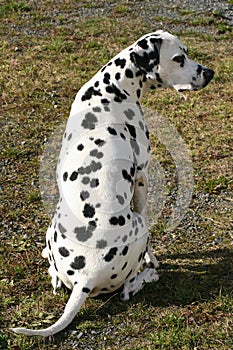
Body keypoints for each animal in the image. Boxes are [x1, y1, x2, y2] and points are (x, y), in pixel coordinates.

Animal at [11, 30, 214, 336]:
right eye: (179, 58)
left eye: (187, 52)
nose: (210, 73)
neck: (111, 90)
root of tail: (85, 277)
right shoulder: (142, 176)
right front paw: (152, 261)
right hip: (139, 229)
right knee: (128, 289)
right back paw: (148, 275)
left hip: (51, 231)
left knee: (54, 275)